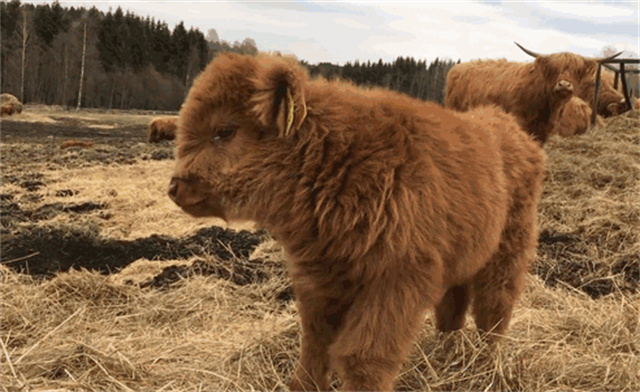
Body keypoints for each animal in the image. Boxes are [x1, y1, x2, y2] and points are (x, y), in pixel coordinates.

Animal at [166, 52, 544, 392]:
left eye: (224, 130)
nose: (175, 186)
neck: (337, 160)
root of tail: (515, 131)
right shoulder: (321, 280)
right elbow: (315, 344)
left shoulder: (396, 282)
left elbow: (363, 358)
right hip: (464, 256)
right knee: (453, 308)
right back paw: (447, 355)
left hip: (507, 252)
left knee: (494, 309)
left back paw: (486, 368)